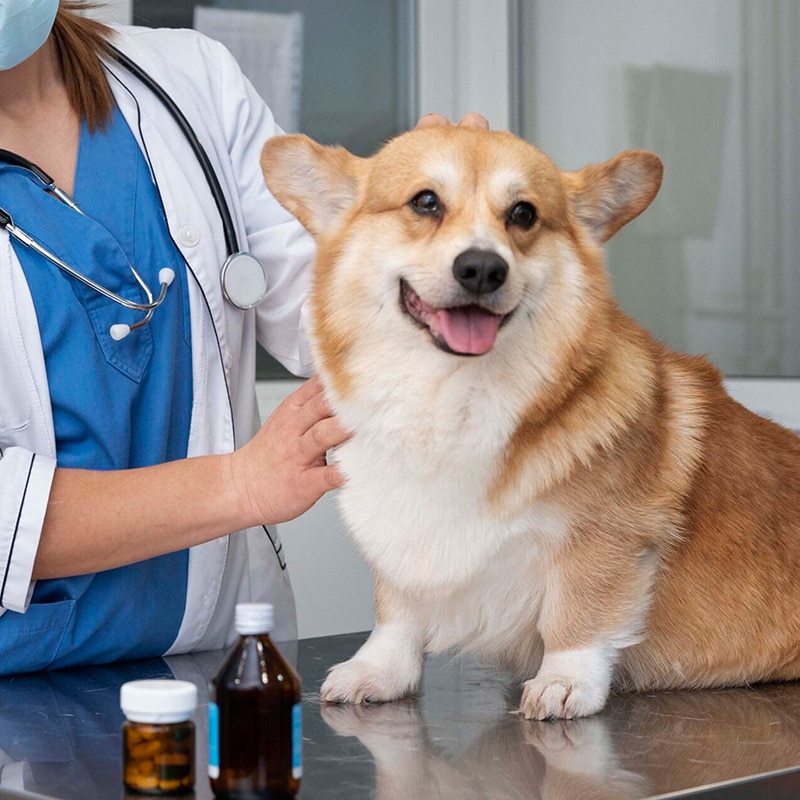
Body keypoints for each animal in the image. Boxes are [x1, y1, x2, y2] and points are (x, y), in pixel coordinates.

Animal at [260, 123, 800, 720]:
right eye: (425, 202)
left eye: (523, 214)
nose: (481, 268)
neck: (454, 398)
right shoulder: (401, 532)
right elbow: (396, 609)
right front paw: (379, 671)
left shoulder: (602, 535)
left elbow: (578, 612)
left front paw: (565, 681)